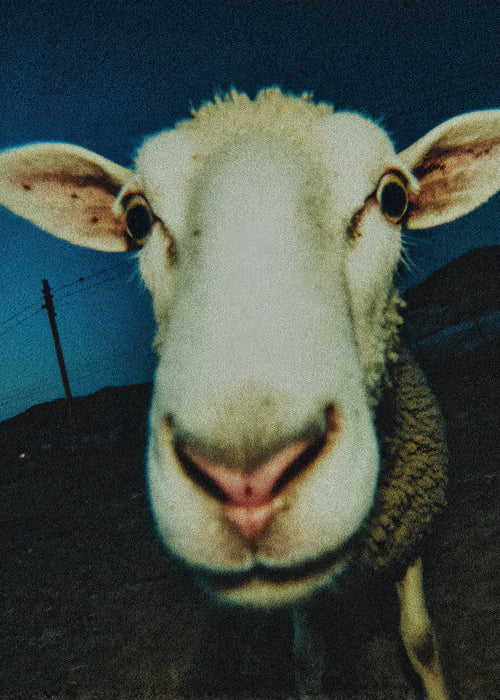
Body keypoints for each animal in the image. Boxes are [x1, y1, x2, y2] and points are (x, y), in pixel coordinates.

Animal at [0, 88, 499, 699]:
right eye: (138, 219)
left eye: (394, 198)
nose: (247, 481)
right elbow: (307, 659)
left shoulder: (412, 537)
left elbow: (421, 640)